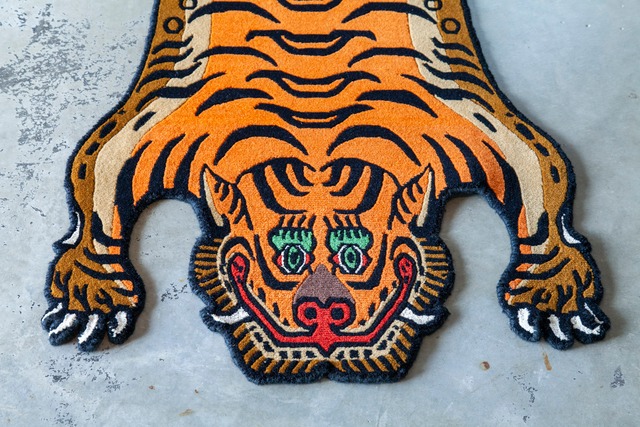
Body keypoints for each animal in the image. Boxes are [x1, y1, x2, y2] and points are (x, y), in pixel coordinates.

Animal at [42, 0, 610, 383]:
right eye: (286, 257)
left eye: (355, 256)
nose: (322, 310)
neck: (318, 141)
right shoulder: (161, 120)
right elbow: (98, 167)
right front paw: (93, 292)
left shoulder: (468, 116)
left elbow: (538, 164)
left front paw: (551, 290)